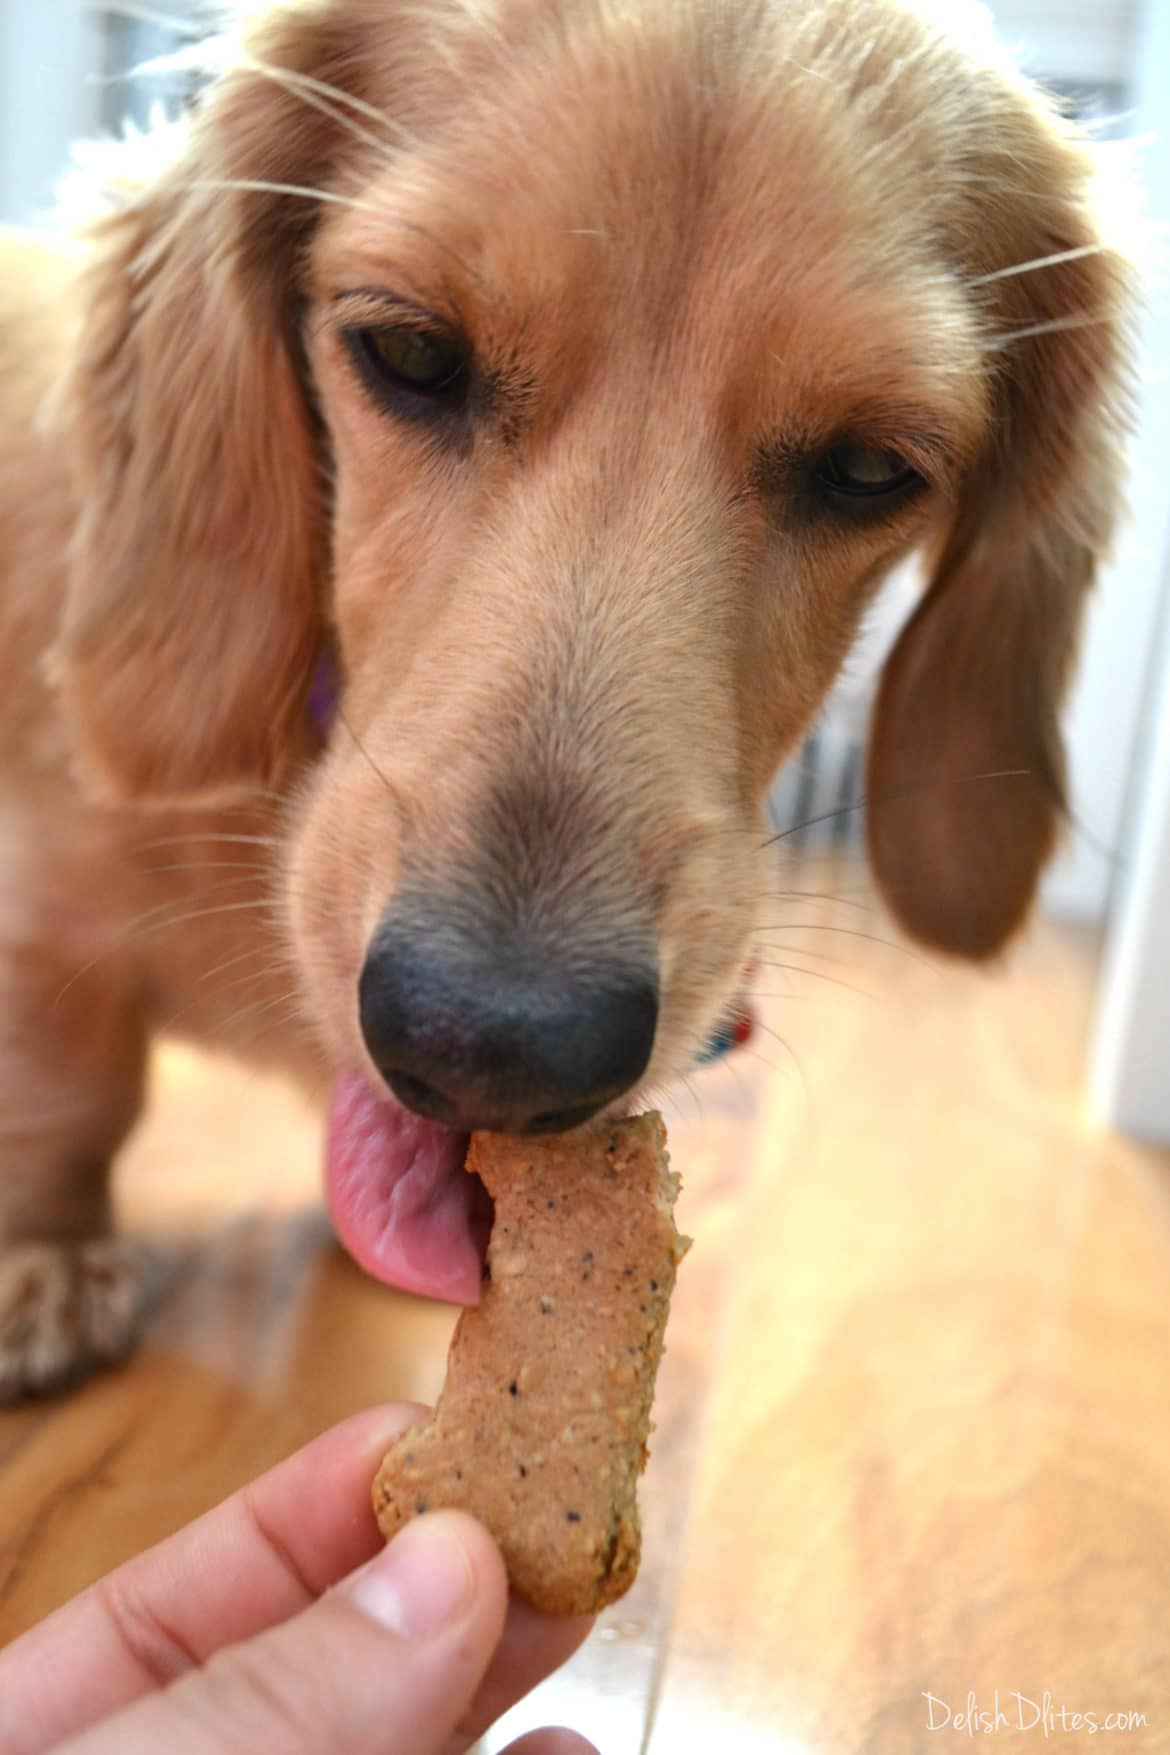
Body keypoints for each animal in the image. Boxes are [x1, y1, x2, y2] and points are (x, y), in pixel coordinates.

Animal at [0, 0, 1136, 1396]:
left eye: (872, 468)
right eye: (409, 351)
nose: (489, 1052)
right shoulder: (41, 908)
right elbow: (68, 1077)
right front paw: (42, 1253)